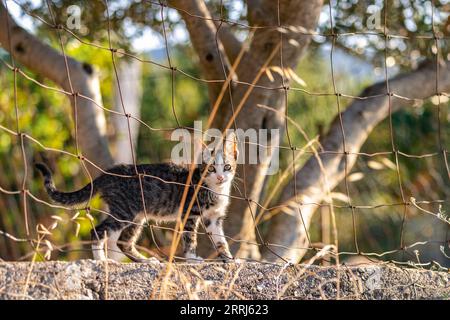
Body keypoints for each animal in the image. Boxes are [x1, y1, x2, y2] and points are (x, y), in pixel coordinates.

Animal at [35, 132, 239, 262]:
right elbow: (190, 237)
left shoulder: (214, 218)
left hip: (137, 216)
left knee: (123, 241)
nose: (220, 177)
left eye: (227, 167)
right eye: (211, 169)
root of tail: (109, 173)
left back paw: (144, 261)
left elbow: (220, 240)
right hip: (125, 211)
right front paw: (192, 259)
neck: (214, 189)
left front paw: (229, 259)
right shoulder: (190, 213)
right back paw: (102, 260)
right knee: (98, 231)